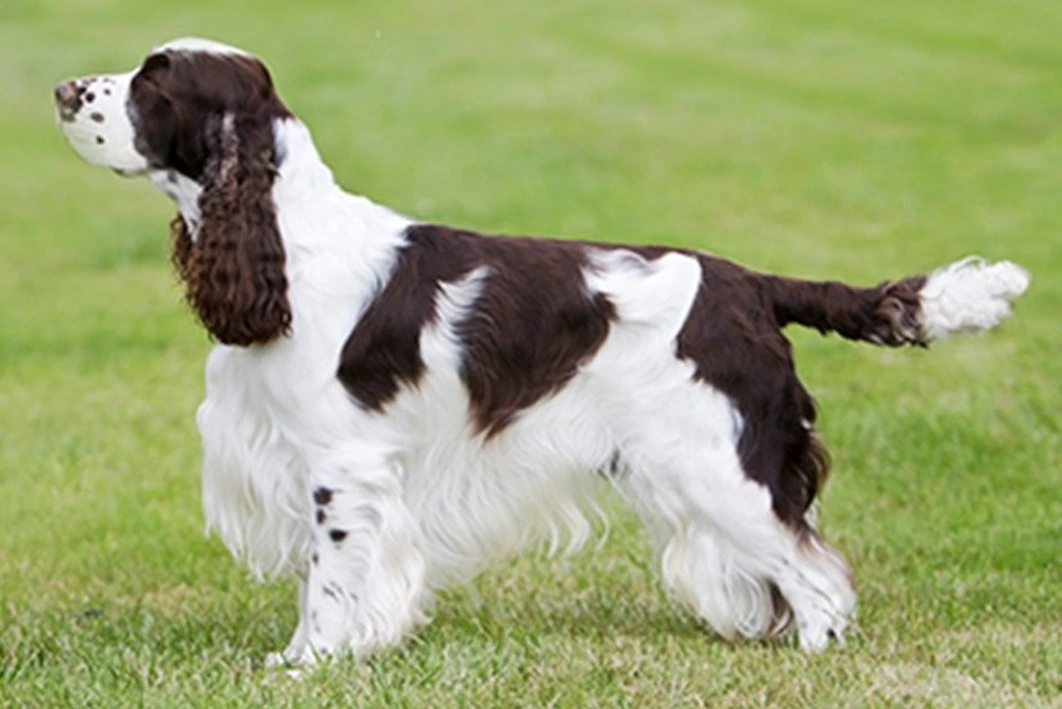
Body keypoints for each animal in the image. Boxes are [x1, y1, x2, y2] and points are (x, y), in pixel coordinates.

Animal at [51, 36, 1028, 662]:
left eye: (154, 82)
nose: (62, 90)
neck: (287, 242)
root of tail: (751, 283)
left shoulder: (340, 462)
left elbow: (328, 580)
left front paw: (307, 663)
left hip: (721, 463)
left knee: (819, 574)